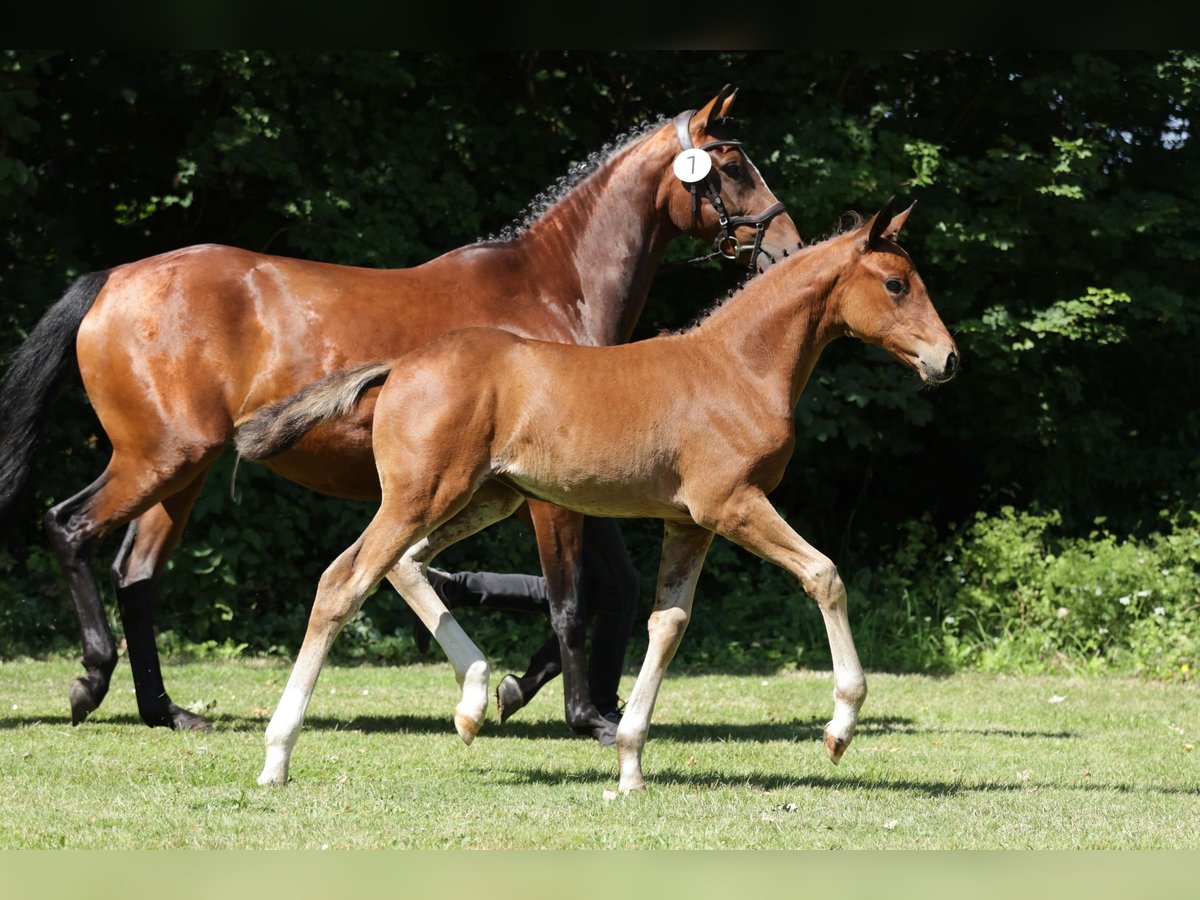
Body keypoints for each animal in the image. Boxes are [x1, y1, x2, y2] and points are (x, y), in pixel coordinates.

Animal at [2, 86, 806, 748]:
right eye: (733, 166)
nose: (788, 246)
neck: (554, 291)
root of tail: (114, 279)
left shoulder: (574, 486)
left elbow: (616, 590)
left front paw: (529, 690)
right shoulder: (549, 503)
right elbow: (572, 600)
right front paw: (584, 715)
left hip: (184, 472)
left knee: (137, 576)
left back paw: (166, 711)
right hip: (158, 458)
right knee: (68, 527)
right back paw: (91, 680)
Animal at [238, 196, 960, 787]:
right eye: (896, 284)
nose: (947, 359)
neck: (738, 367)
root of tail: (400, 366)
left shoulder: (689, 522)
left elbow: (668, 623)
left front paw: (631, 762)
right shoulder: (734, 504)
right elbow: (824, 575)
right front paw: (839, 729)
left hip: (485, 497)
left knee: (406, 566)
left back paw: (473, 702)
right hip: (423, 497)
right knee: (344, 582)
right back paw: (277, 755)